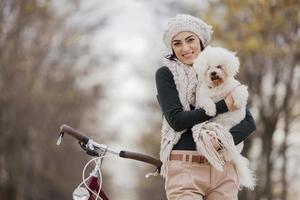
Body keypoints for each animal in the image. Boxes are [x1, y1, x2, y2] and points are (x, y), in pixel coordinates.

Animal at [192, 46, 255, 190]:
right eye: (208, 68)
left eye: (219, 66)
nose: (213, 73)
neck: (217, 86)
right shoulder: (203, 96)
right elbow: (207, 101)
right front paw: (211, 110)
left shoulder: (237, 88)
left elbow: (238, 92)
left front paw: (238, 102)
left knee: (227, 153)